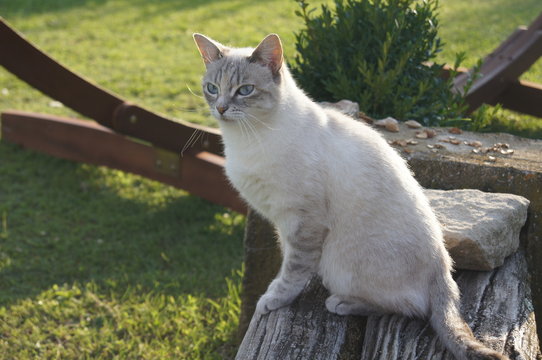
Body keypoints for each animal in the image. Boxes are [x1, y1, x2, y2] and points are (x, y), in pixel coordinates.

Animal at [194, 33, 510, 360]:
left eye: (245, 90)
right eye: (212, 88)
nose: (220, 108)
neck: (246, 139)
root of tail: (444, 273)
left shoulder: (303, 220)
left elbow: (293, 270)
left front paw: (273, 299)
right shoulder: (282, 223)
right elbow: (289, 260)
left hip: (340, 265)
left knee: (410, 307)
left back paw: (342, 302)